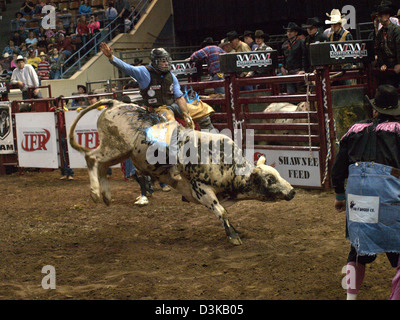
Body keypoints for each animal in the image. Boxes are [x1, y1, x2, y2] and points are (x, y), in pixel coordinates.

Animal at [69, 99, 296, 245]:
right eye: (270, 179)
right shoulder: (200, 189)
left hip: (120, 152)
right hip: (115, 146)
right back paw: (95, 193)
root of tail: (115, 104)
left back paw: (106, 196)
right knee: (92, 158)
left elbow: (224, 211)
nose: (292, 192)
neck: (228, 168)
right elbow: (221, 211)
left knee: (101, 165)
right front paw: (233, 237)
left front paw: (235, 230)